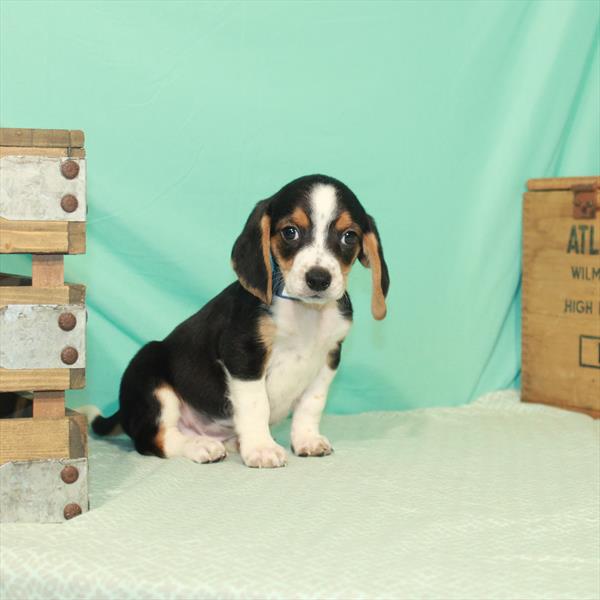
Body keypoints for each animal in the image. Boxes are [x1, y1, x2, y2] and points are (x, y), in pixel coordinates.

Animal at [90, 173, 390, 468]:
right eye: (290, 232)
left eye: (349, 236)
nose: (318, 279)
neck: (304, 311)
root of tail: (124, 411)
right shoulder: (244, 355)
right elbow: (257, 405)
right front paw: (261, 449)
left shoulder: (327, 359)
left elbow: (311, 405)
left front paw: (306, 440)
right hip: (149, 372)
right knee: (154, 439)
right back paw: (201, 445)